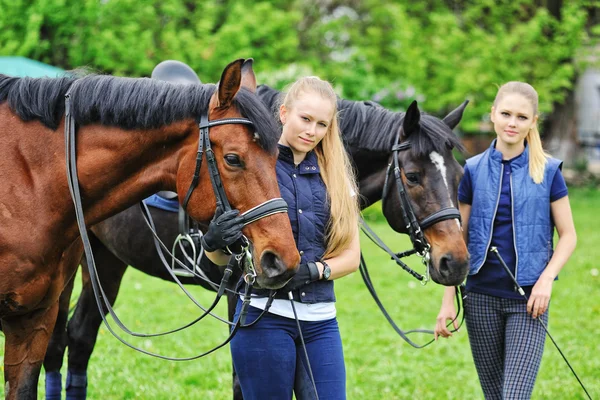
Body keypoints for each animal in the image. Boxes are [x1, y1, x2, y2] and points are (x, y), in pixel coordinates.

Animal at [0, 59, 300, 400]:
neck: (29, 179)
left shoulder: (31, 321)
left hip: (104, 263)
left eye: (278, 156)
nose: (283, 259)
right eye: (233, 159)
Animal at [39, 83, 472, 398]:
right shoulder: (238, 295)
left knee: (81, 337)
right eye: (412, 176)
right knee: (58, 344)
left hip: (108, 261)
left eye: (458, 175)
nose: (456, 262)